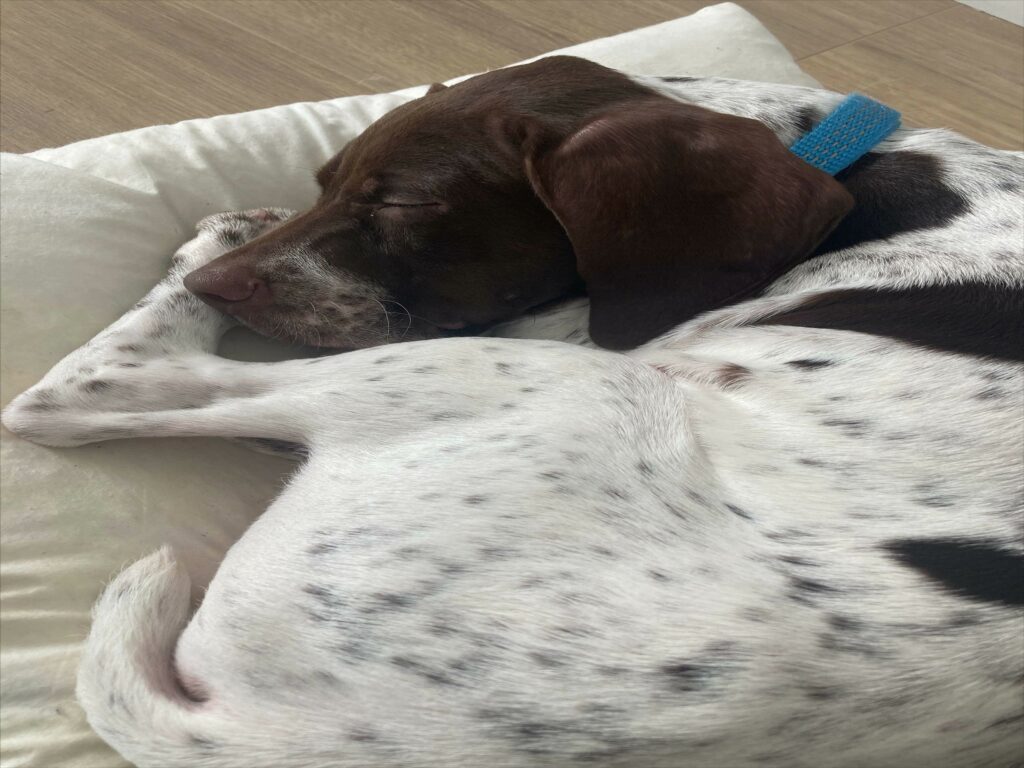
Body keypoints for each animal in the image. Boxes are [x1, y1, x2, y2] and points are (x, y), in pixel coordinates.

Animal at [3, 56, 1022, 767]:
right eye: (325, 180)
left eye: (406, 204)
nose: (224, 286)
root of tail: (278, 732)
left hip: (534, 381)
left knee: (75, 393)